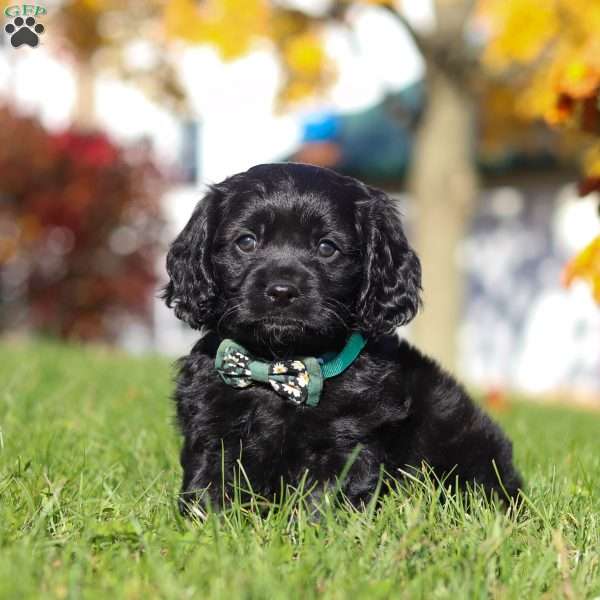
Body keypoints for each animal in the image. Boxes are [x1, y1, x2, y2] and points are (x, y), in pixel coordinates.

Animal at [164, 163, 520, 510]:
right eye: (246, 241)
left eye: (327, 248)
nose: (282, 291)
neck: (279, 366)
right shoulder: (211, 428)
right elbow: (209, 487)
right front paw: (211, 521)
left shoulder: (347, 440)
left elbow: (321, 499)